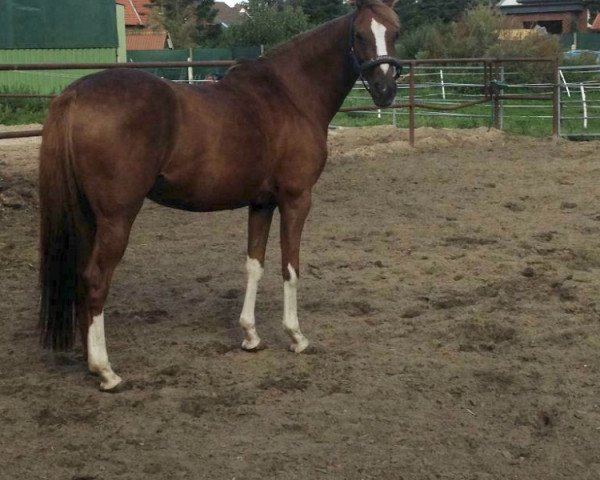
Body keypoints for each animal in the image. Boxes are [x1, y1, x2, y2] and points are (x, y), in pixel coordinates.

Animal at [39, 0, 400, 390]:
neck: (291, 96)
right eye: (360, 35)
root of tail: (75, 94)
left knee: (80, 276)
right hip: (117, 217)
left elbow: (254, 264)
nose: (384, 89)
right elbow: (290, 266)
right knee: (95, 278)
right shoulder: (297, 199)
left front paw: (251, 336)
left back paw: (89, 360)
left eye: (395, 32)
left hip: (88, 217)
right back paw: (105, 371)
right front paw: (296, 336)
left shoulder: (261, 203)